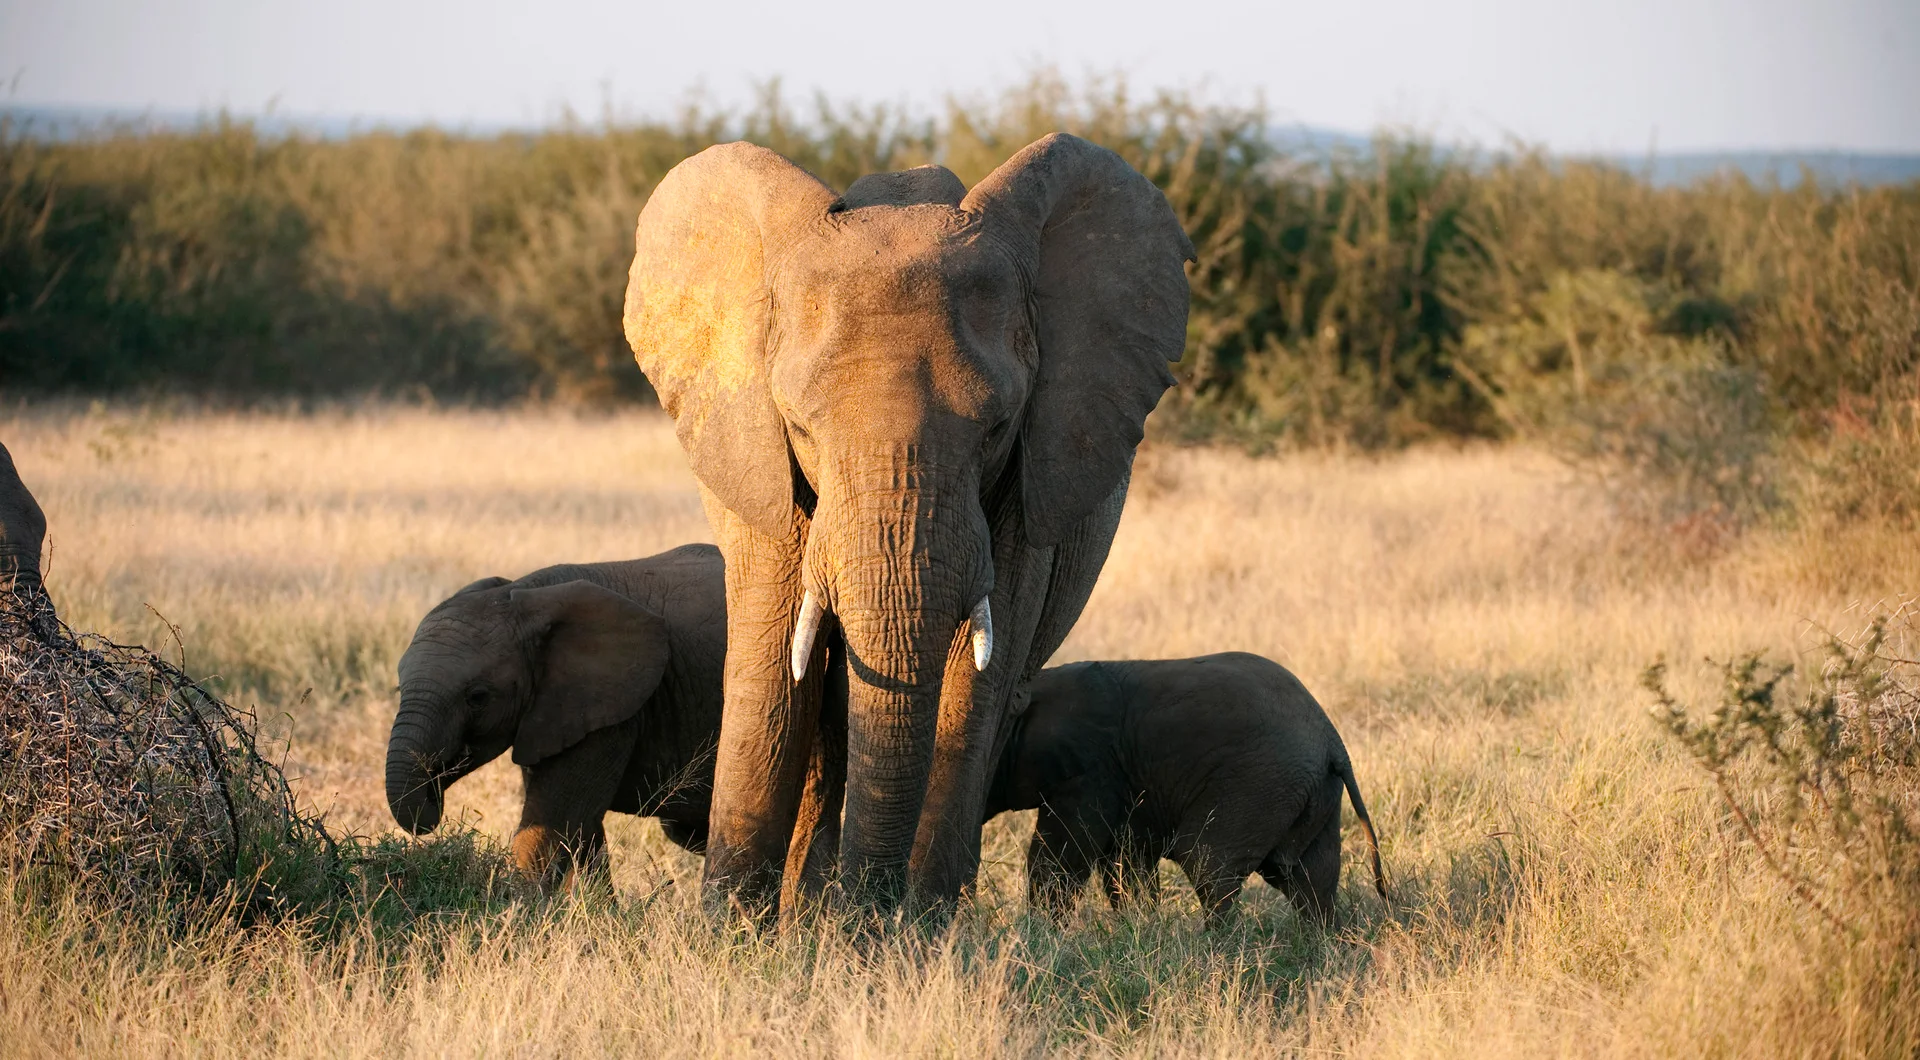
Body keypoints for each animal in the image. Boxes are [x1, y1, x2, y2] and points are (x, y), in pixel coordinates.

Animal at [385, 541, 729, 891]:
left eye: (477, 697)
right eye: (399, 688)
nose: (434, 797)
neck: (524, 594)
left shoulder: (609, 706)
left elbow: (551, 829)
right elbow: (582, 834)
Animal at [622, 130, 1190, 910]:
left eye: (997, 428)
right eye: (800, 427)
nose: (869, 911)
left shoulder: (1032, 481)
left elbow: (971, 684)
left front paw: (914, 932)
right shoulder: (756, 463)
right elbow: (775, 668)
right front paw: (729, 929)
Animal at [990, 652, 1382, 929]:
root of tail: (1332, 740)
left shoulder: (1089, 772)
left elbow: (1060, 857)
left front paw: (1043, 933)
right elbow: (1125, 862)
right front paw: (1138, 927)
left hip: (1258, 785)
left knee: (1206, 864)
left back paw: (1211, 946)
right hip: (1313, 793)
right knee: (1311, 878)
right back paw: (1321, 940)